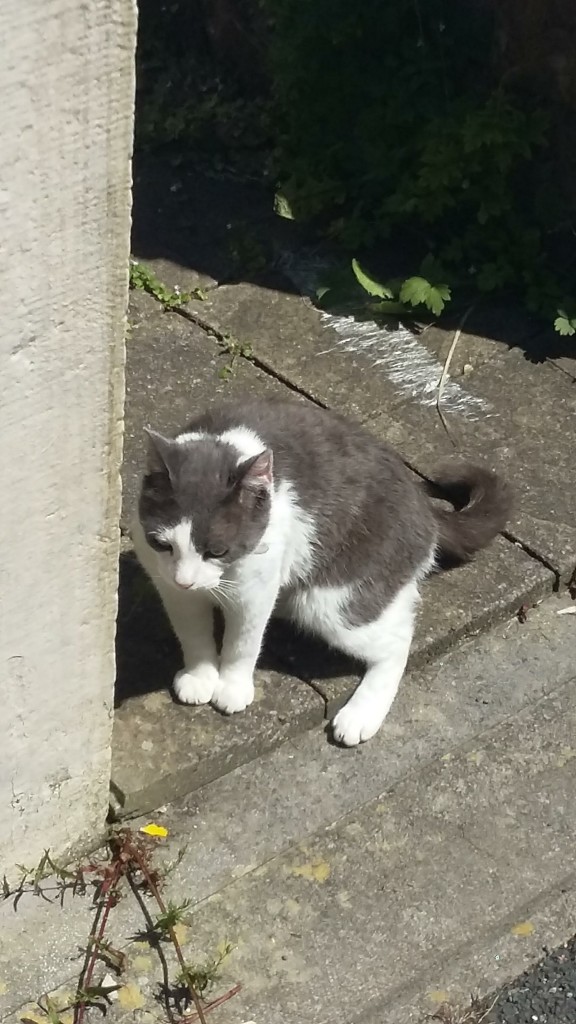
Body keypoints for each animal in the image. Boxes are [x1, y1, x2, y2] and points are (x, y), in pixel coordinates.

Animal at [132, 397, 508, 745]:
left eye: (218, 551)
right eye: (162, 544)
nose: (186, 580)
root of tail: (426, 508)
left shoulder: (255, 588)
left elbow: (243, 642)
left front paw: (232, 687)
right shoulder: (169, 584)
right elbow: (192, 631)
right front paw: (200, 677)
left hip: (330, 600)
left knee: (398, 641)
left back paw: (360, 715)